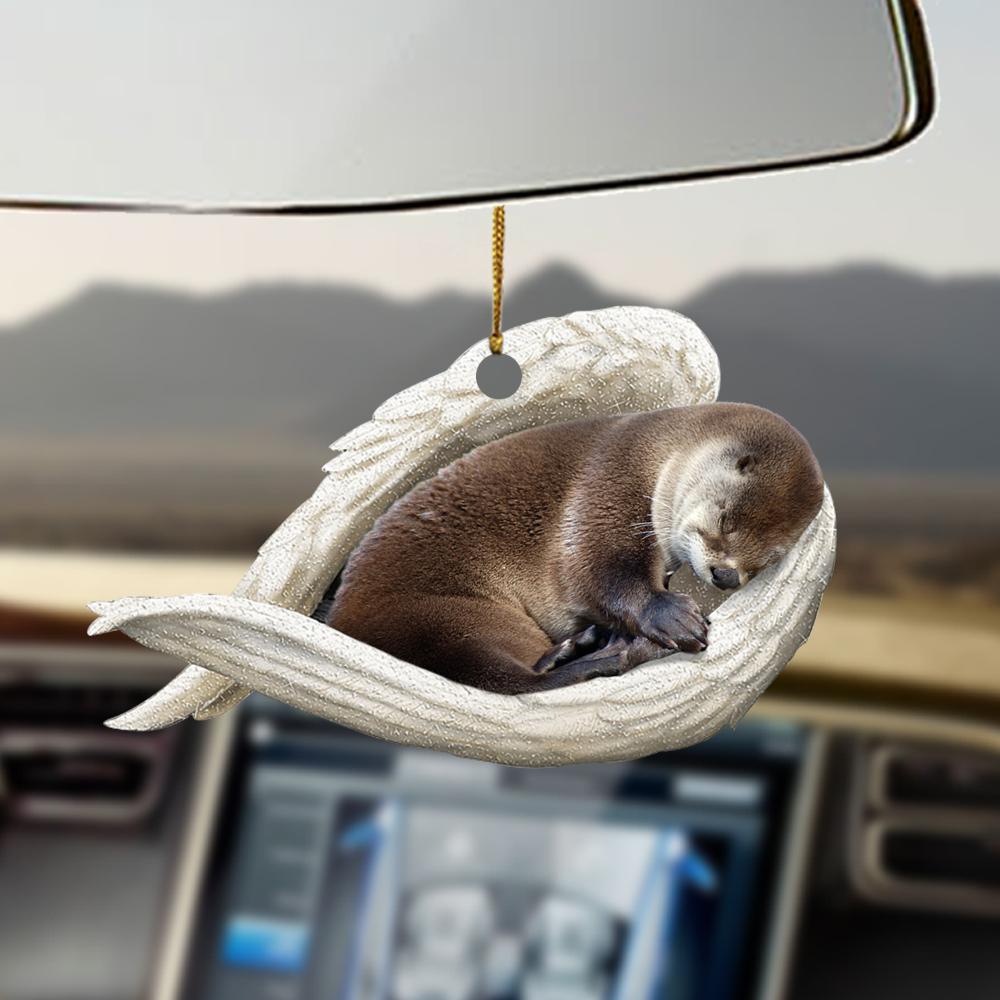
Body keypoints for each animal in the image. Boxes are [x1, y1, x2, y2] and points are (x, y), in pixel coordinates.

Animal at [327, 403, 824, 694]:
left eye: (767, 560)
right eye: (725, 517)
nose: (725, 576)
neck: (657, 453)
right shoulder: (609, 481)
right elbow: (592, 569)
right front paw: (672, 616)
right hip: (444, 615)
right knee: (513, 678)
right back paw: (584, 651)